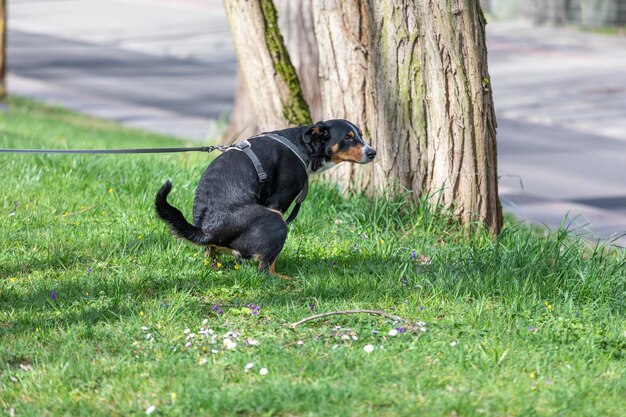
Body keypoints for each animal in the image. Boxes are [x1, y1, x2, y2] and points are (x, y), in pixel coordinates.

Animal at [155, 118, 376, 278]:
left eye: (360, 135)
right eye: (348, 137)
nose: (372, 152)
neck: (302, 146)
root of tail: (207, 231)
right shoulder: (278, 201)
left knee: (210, 255)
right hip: (276, 220)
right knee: (264, 269)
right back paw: (282, 278)